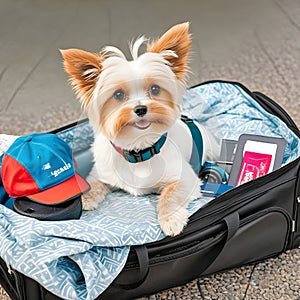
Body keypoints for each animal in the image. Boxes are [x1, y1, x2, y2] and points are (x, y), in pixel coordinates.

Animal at [61, 22, 218, 237]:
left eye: (155, 89)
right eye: (118, 95)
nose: (141, 109)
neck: (138, 150)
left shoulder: (185, 179)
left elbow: (170, 195)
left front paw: (170, 219)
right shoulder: (101, 174)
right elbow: (94, 184)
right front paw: (86, 198)